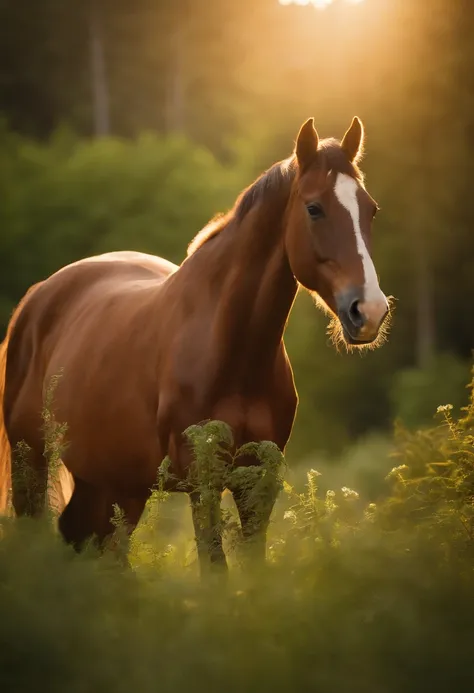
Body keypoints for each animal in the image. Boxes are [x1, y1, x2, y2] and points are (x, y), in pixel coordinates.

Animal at [0, 119, 388, 572]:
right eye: (314, 208)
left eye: (370, 209)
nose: (369, 310)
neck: (231, 351)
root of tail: (38, 297)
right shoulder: (203, 482)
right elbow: (214, 572)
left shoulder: (259, 481)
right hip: (32, 463)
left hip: (114, 485)